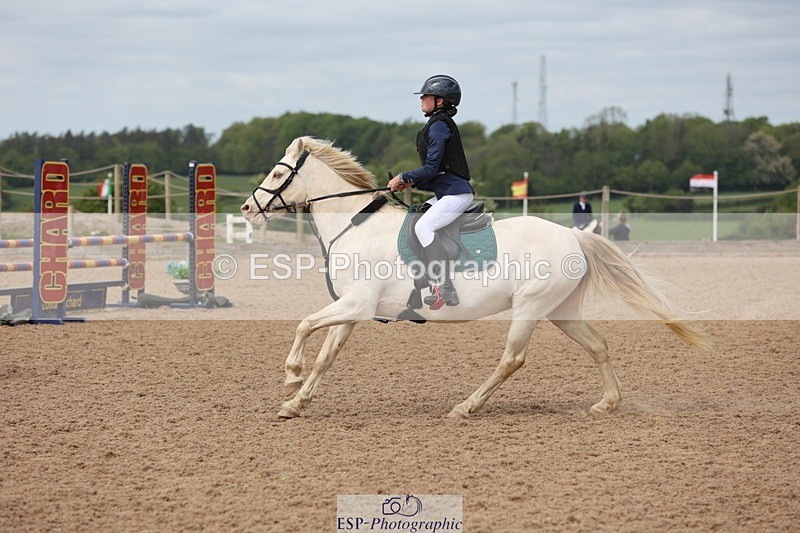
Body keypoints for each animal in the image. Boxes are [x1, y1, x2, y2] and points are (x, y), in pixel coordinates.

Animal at [241, 136, 710, 419]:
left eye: (279, 174)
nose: (247, 209)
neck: (355, 224)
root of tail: (571, 235)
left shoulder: (355, 304)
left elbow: (304, 325)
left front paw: (291, 375)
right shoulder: (354, 309)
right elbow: (326, 355)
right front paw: (295, 402)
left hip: (530, 307)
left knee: (512, 359)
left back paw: (466, 406)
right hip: (560, 310)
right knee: (598, 345)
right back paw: (608, 403)